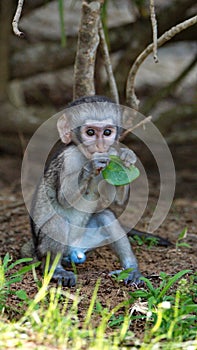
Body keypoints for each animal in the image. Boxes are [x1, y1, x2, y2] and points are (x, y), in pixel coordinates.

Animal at [23, 94, 143, 286]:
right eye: (90, 133)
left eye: (107, 132)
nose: (100, 146)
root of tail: (74, 250)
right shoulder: (69, 158)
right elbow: (63, 198)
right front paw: (90, 166)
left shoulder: (110, 159)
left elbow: (115, 199)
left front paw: (127, 158)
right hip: (43, 248)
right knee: (58, 221)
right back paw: (56, 270)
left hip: (85, 241)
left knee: (106, 216)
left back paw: (131, 269)